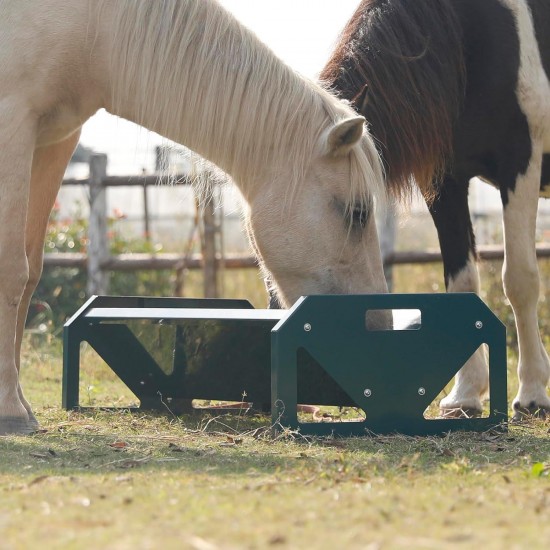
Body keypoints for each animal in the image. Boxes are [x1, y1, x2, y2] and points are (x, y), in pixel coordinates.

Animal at [0, 0, 388, 436]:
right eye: (358, 212)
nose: (377, 323)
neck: (93, 24)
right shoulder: (13, 121)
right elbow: (11, 269)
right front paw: (10, 411)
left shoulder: (54, 139)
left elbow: (31, 272)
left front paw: (20, 404)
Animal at [324, 0, 550, 420]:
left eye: (355, 210)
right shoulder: (444, 180)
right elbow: (461, 284)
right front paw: (465, 395)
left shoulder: (520, 163)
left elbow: (520, 280)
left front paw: (531, 393)